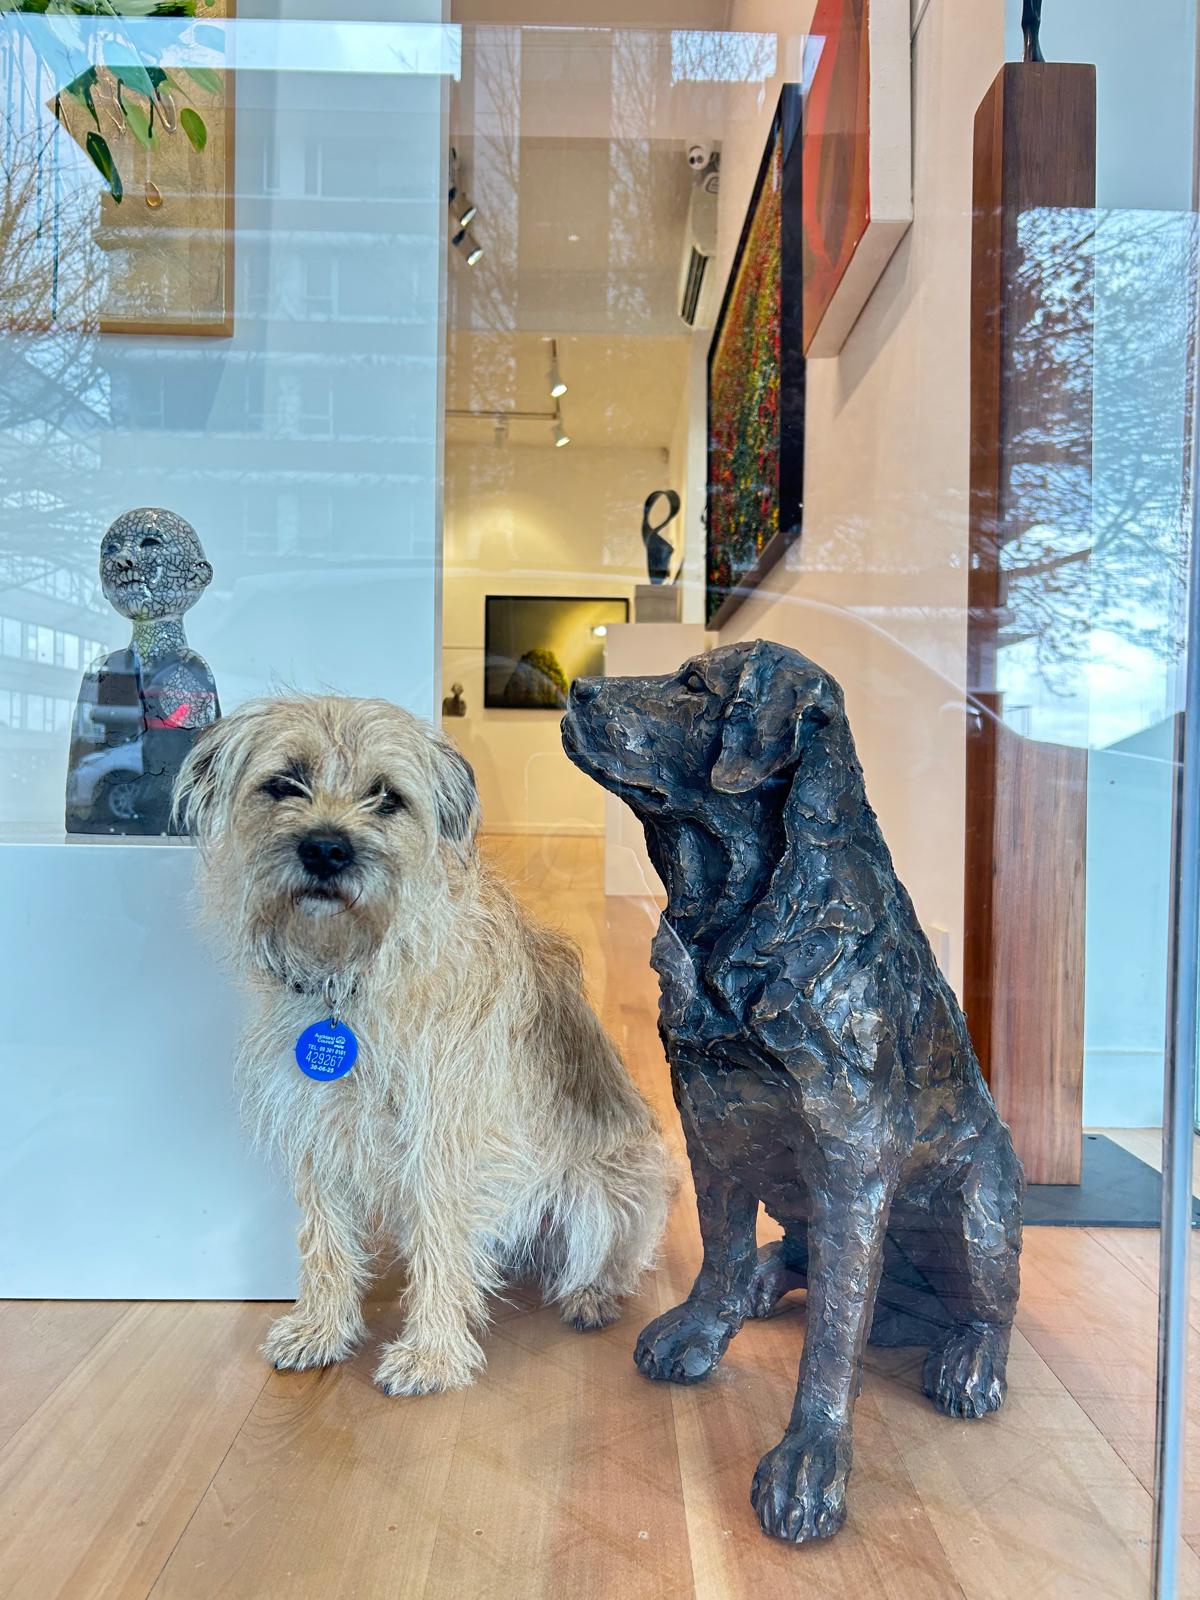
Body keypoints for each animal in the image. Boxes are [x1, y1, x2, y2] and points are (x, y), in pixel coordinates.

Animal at [176, 694, 678, 1395]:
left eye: (387, 797)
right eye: (283, 784)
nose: (325, 849)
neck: (350, 980)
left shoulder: (444, 1138)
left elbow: (440, 1240)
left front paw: (432, 1354)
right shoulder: (318, 1126)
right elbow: (324, 1237)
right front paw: (322, 1328)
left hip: (609, 1192)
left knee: (608, 1258)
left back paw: (592, 1296)